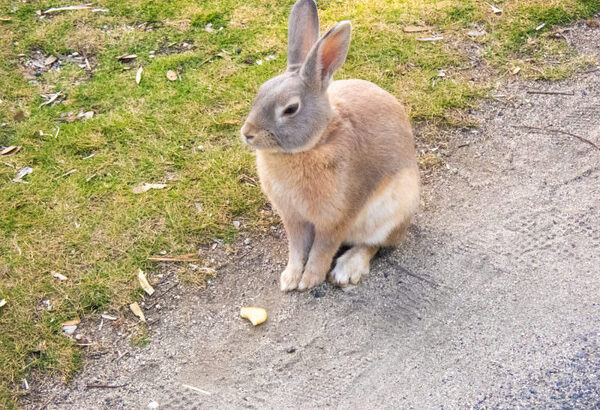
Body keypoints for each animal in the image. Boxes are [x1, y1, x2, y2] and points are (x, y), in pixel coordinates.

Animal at [241, 0, 420, 292]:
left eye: (290, 109)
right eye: (260, 91)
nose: (247, 134)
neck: (315, 143)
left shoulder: (336, 218)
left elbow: (322, 250)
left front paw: (309, 281)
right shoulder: (294, 218)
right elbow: (297, 249)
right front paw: (290, 279)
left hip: (391, 211)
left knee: (374, 244)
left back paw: (346, 269)